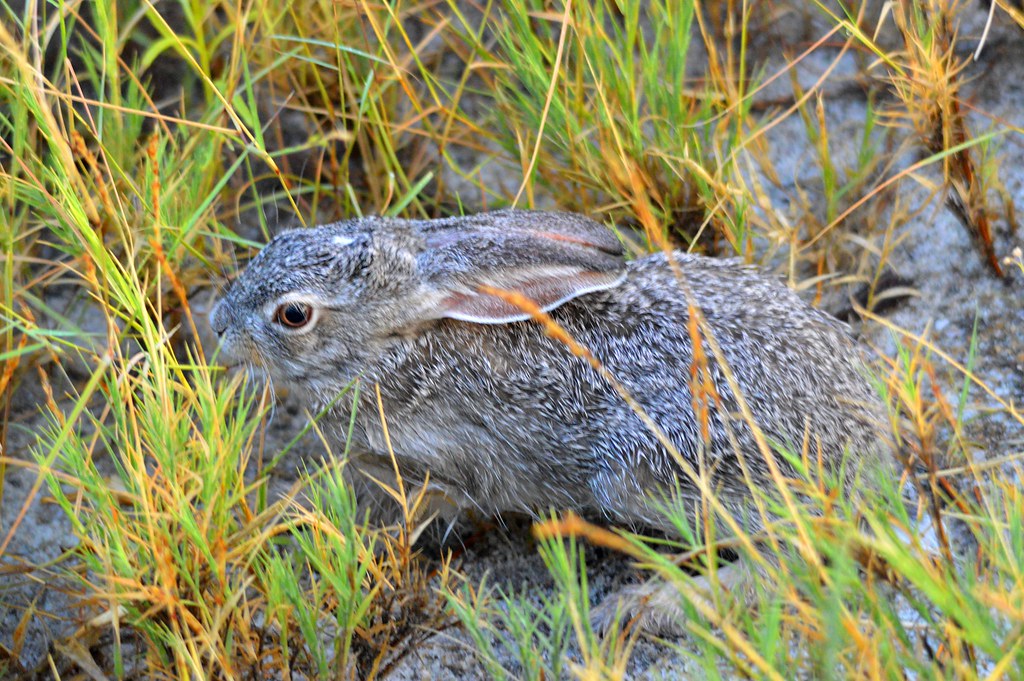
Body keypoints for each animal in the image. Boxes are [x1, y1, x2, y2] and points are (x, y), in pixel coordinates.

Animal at [210, 209, 895, 633]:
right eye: (282, 237)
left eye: (293, 315)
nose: (216, 325)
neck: (399, 344)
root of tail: (867, 455)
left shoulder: (450, 463)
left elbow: (429, 506)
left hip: (646, 474)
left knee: (802, 556)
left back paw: (648, 606)